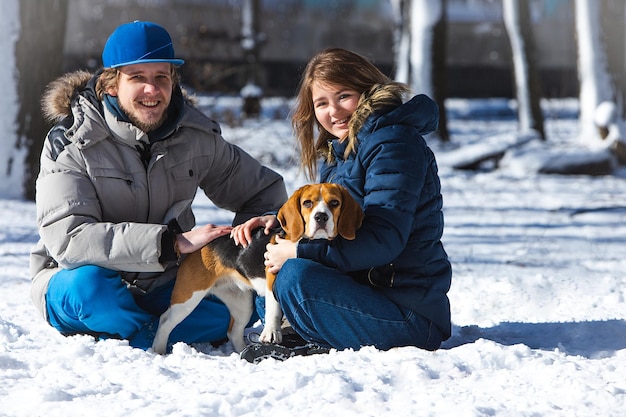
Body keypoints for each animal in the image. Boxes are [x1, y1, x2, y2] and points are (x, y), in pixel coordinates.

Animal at [152, 184, 364, 352]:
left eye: (334, 203)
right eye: (307, 203)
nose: (321, 217)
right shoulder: (272, 276)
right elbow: (274, 308)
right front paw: (270, 333)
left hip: (242, 304)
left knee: (233, 332)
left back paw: (243, 353)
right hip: (188, 297)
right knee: (164, 320)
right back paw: (159, 350)